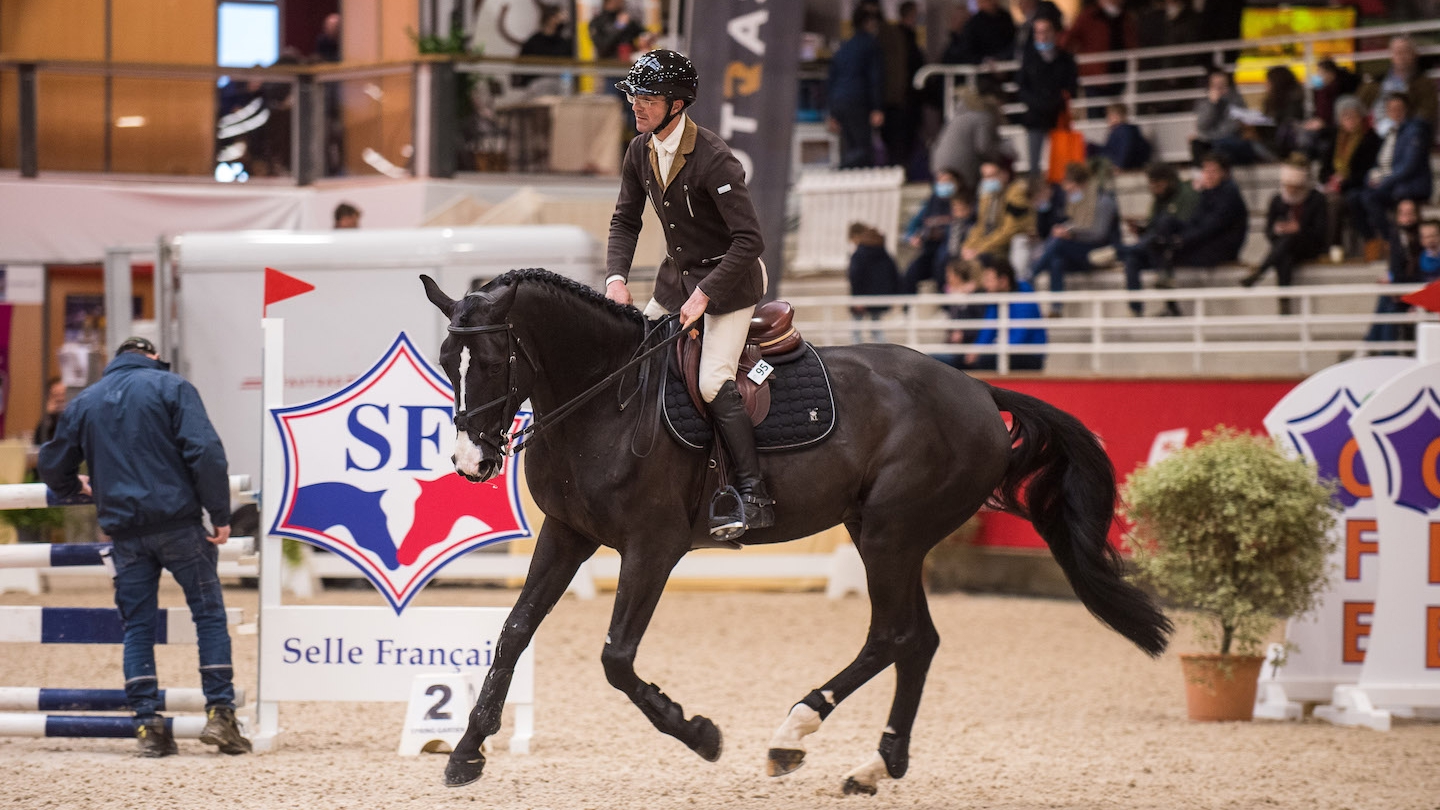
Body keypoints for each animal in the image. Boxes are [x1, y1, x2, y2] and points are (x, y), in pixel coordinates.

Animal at [420, 268, 1169, 789]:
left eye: (493, 363)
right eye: (446, 361)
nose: (470, 463)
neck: (608, 399)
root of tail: (979, 390)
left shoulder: (652, 548)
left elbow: (616, 659)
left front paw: (700, 733)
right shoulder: (568, 535)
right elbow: (514, 631)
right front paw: (467, 753)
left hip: (890, 535)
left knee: (895, 634)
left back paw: (795, 731)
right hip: (885, 535)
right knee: (917, 640)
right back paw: (872, 765)